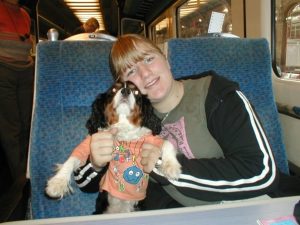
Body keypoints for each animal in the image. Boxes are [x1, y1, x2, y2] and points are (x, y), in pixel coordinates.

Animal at [45, 81, 182, 213]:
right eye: (114, 90)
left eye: (136, 92)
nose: (126, 91)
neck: (123, 127)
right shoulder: (90, 142)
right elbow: (73, 158)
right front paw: (57, 183)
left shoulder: (150, 139)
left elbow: (167, 143)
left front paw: (171, 167)